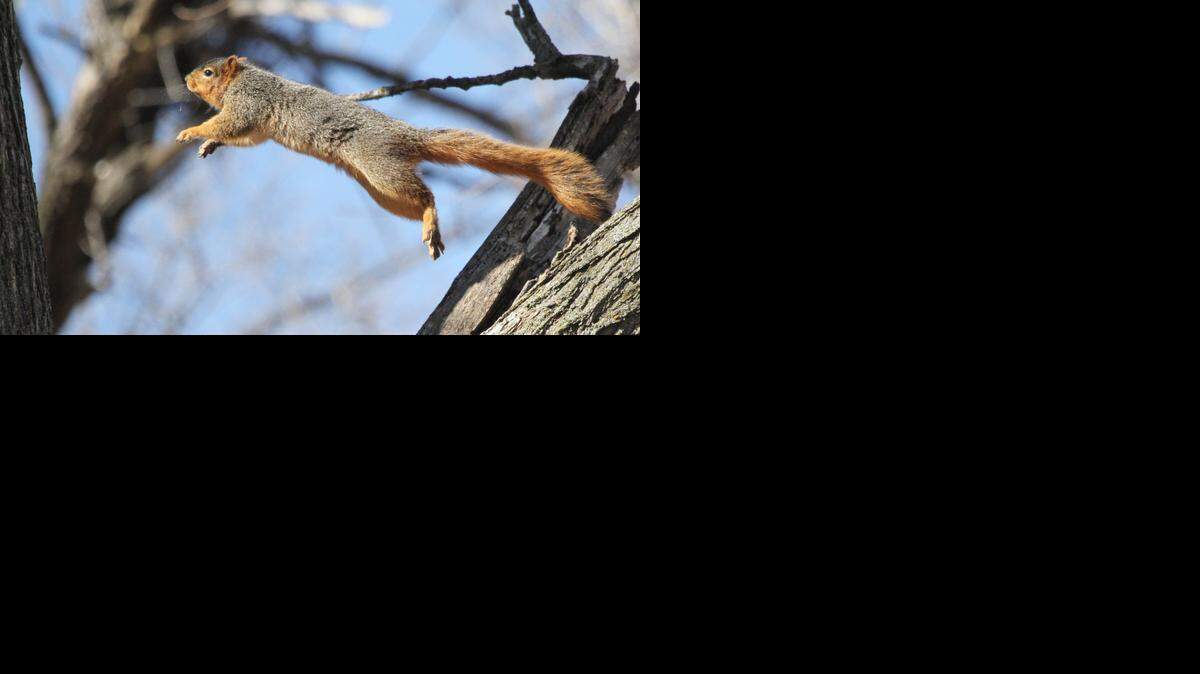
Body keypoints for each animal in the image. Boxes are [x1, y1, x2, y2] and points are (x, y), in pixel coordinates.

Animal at [176, 56, 611, 260]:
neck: (243, 79)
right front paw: (208, 145)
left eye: (209, 72)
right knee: (415, 203)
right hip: (381, 192)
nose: (185, 79)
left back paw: (432, 222)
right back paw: (429, 230)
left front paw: (192, 132)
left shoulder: (248, 103)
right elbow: (245, 138)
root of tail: (409, 137)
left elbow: (229, 124)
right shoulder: (258, 127)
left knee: (428, 196)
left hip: (383, 170)